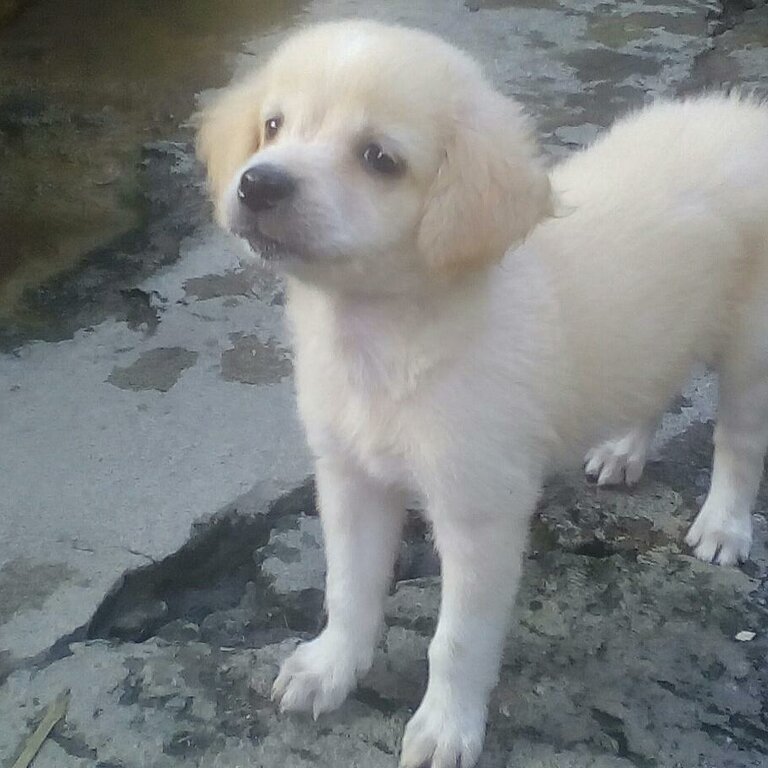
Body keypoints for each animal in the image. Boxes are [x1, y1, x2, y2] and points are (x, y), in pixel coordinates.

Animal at [196, 19, 768, 768]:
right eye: (273, 125)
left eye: (379, 158)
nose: (258, 184)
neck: (384, 341)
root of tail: (746, 116)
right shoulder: (349, 480)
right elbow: (347, 589)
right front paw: (330, 668)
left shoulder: (480, 512)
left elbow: (456, 640)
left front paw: (446, 727)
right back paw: (623, 447)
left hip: (751, 347)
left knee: (739, 441)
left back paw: (724, 525)